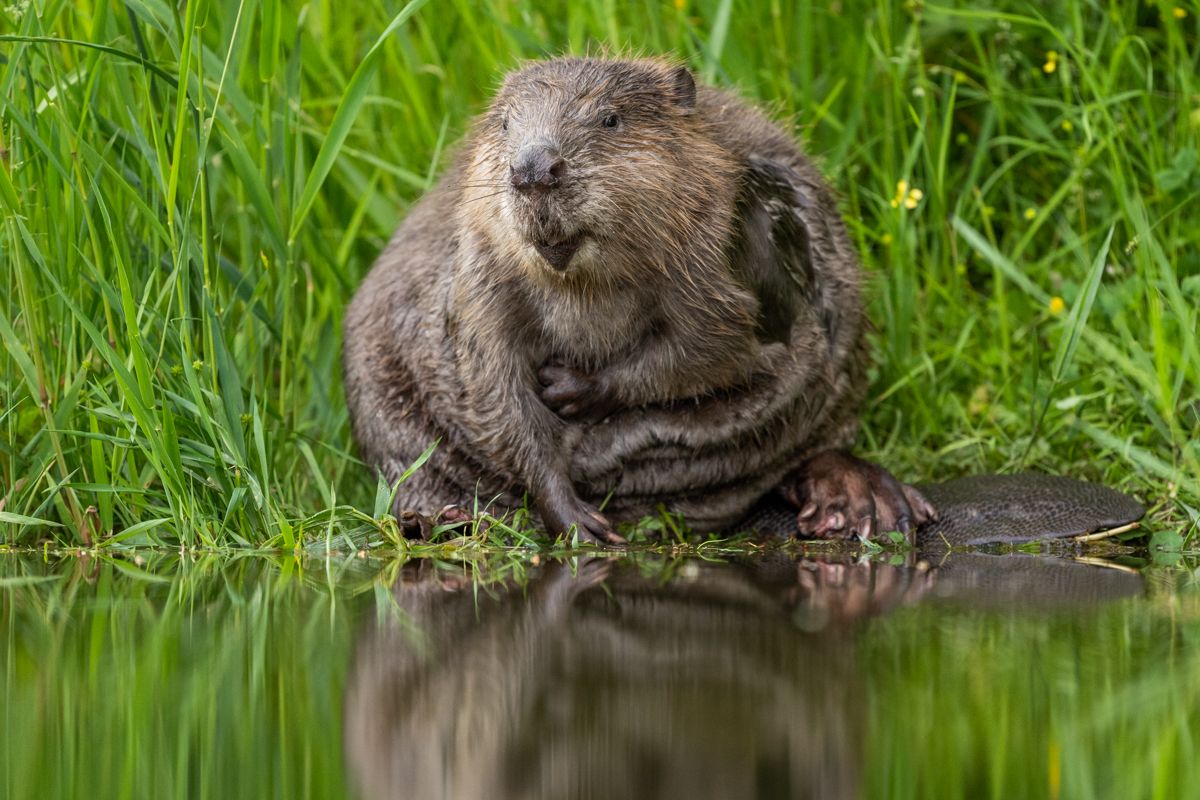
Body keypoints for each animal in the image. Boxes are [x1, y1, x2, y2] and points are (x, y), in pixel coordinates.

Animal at [343, 54, 940, 544]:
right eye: (507, 123)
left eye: (609, 119)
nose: (534, 169)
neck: (581, 282)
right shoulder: (480, 277)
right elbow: (497, 391)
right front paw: (579, 521)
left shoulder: (708, 258)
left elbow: (715, 348)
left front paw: (574, 388)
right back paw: (445, 520)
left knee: (814, 444)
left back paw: (865, 504)